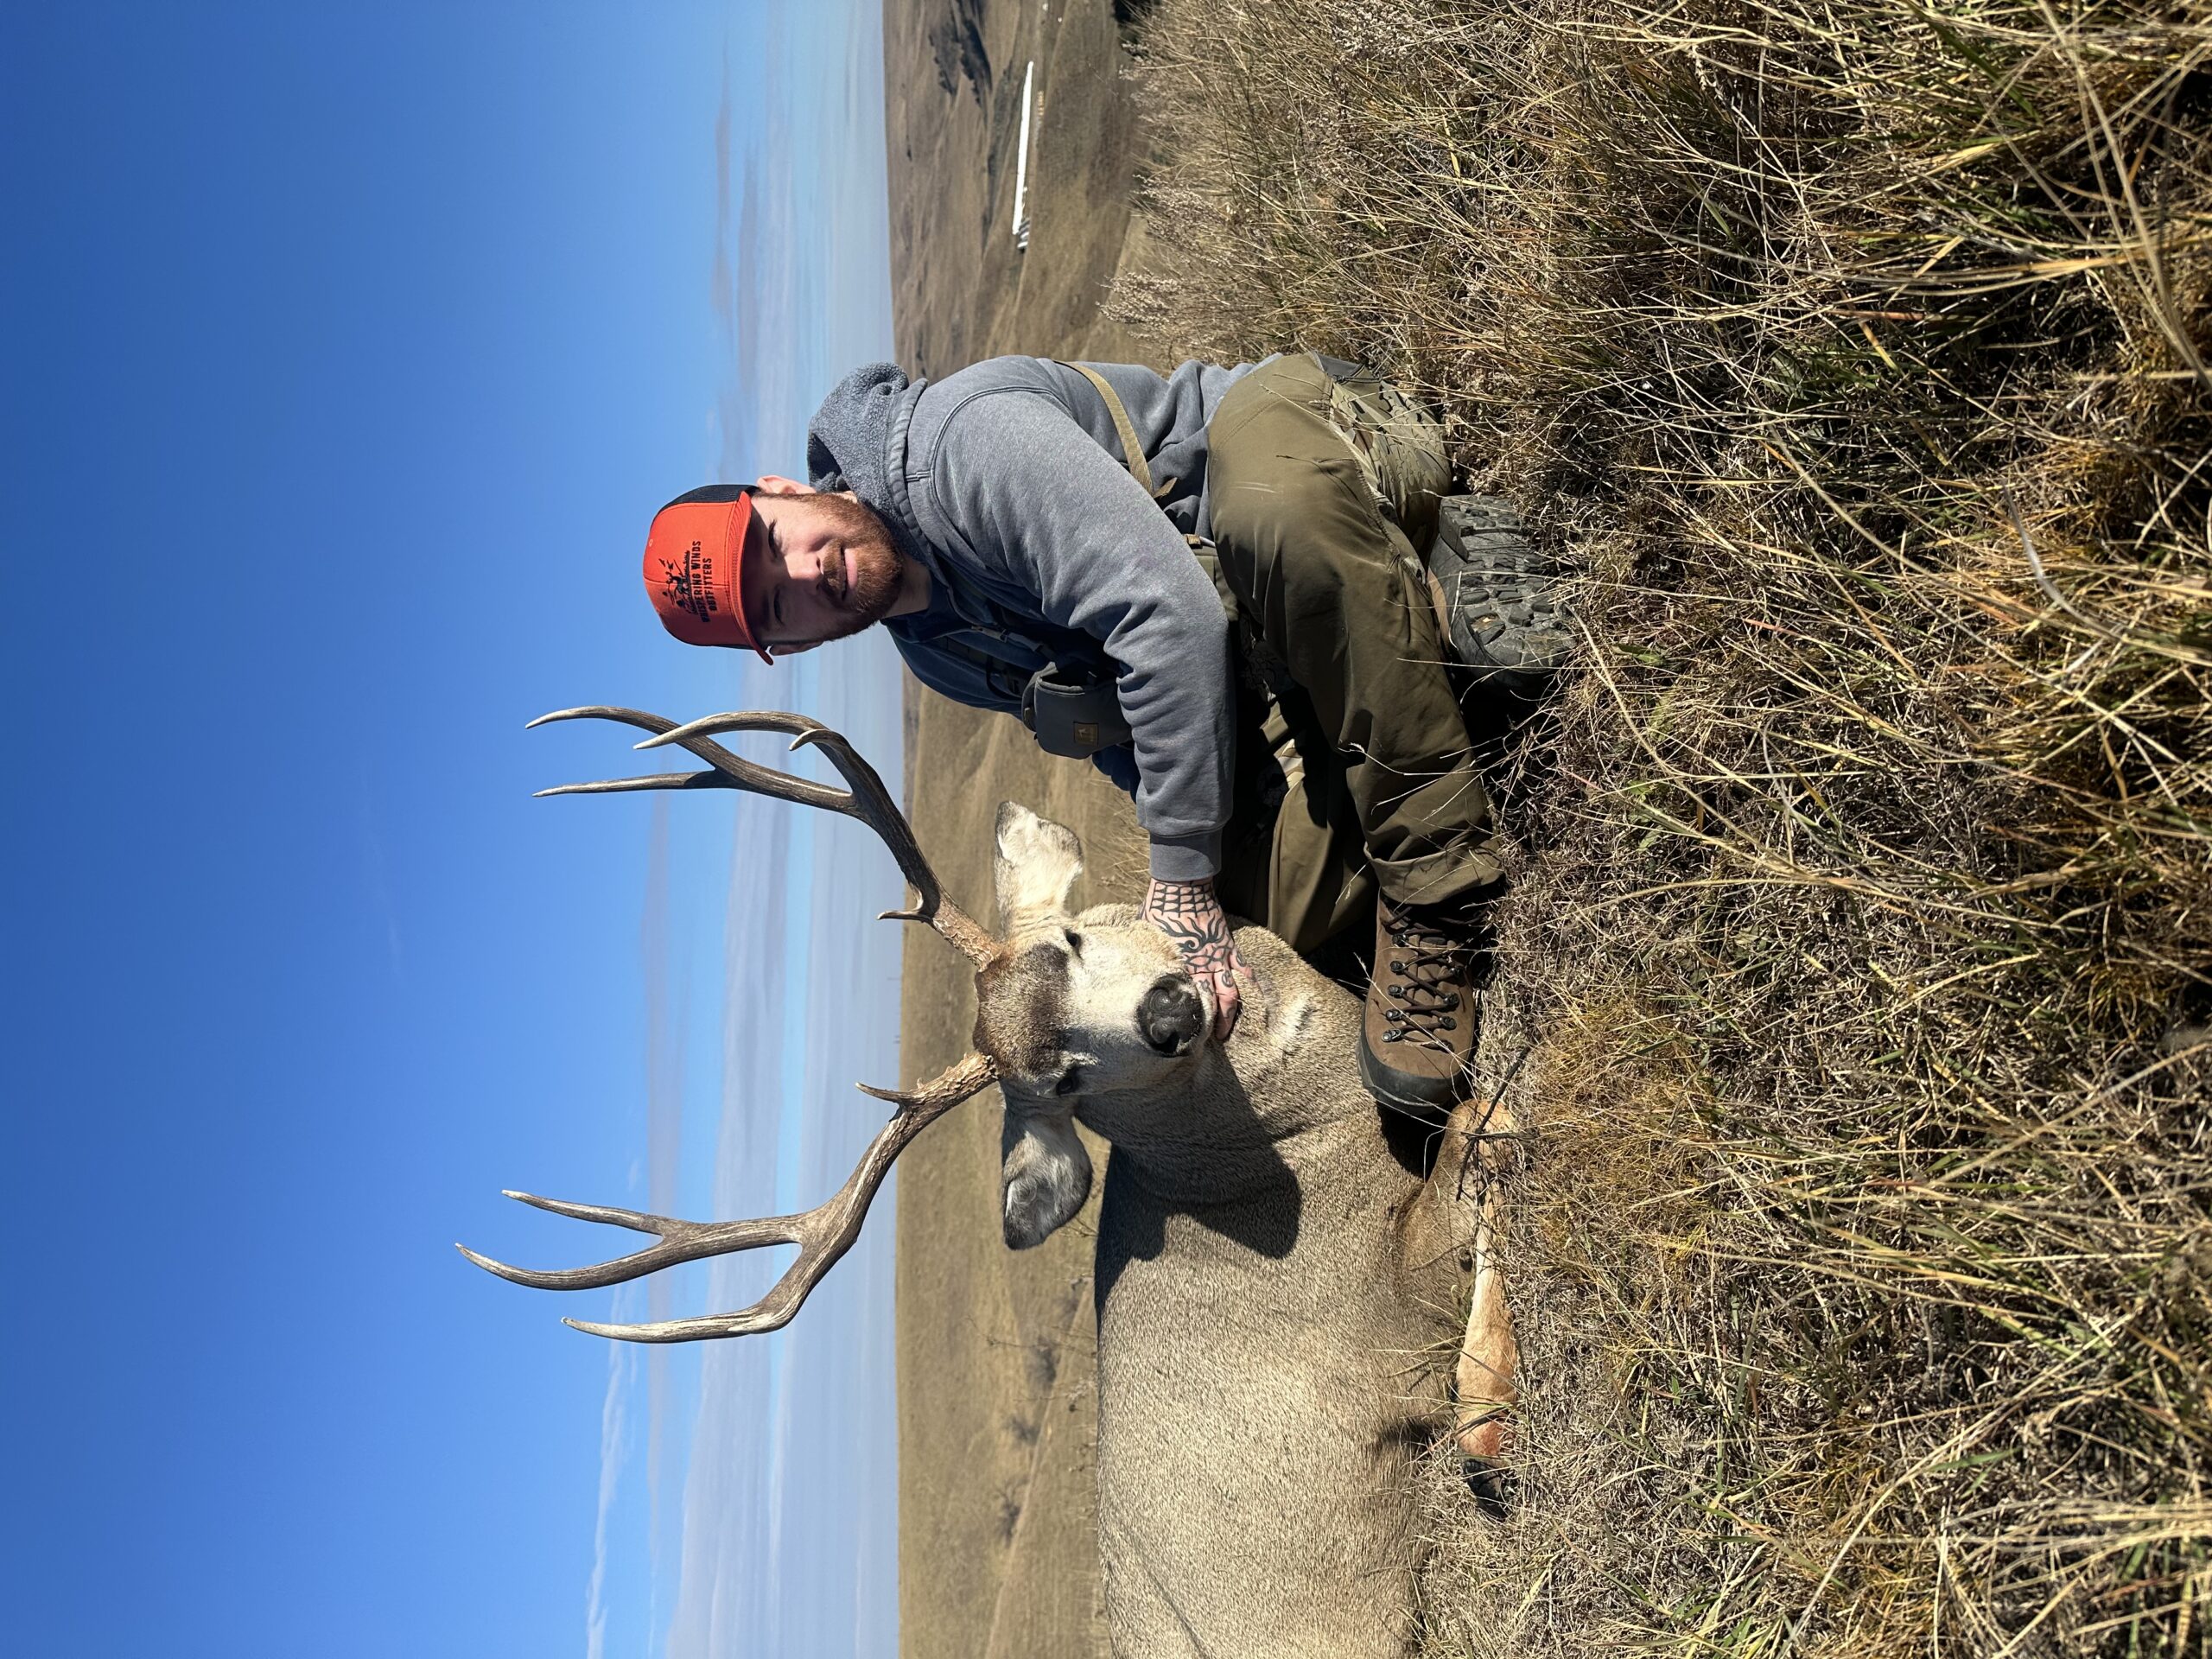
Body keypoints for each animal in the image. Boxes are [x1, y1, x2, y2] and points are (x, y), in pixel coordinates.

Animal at [461, 706, 1520, 1659]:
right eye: (1058, 1081)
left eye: (1071, 941)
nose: (1169, 1011)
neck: (1281, 1144)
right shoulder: (1381, 1312)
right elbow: (1484, 1133)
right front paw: (1487, 1407)